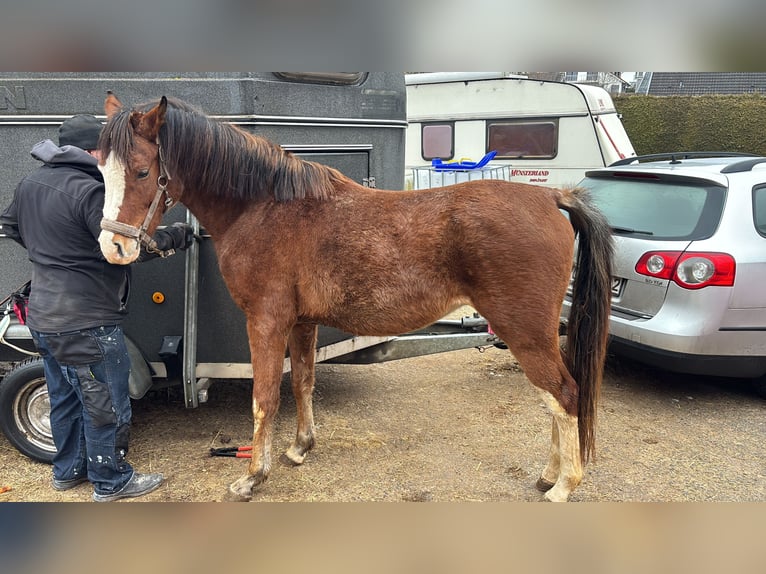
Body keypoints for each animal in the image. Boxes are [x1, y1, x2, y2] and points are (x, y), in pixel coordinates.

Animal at [96, 92, 613, 502]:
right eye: (101, 166)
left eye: (142, 171)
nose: (113, 246)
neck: (263, 207)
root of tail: (550, 198)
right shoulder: (302, 322)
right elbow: (302, 384)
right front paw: (299, 448)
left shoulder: (265, 320)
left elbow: (265, 397)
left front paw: (253, 477)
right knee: (556, 398)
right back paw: (549, 476)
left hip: (523, 330)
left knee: (563, 395)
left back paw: (564, 486)